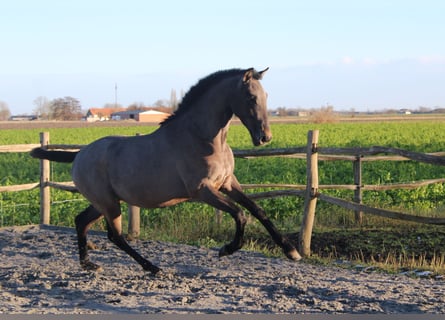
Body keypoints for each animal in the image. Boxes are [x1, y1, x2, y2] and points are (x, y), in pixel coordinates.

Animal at [31, 68, 302, 276]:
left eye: (266, 95)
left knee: (82, 222)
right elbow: (240, 214)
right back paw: (152, 267)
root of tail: (80, 154)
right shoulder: (203, 190)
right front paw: (226, 249)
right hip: (108, 203)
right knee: (115, 236)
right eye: (251, 98)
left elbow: (257, 210)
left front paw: (291, 251)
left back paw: (89, 264)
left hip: (103, 203)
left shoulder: (227, 183)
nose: (265, 138)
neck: (203, 139)